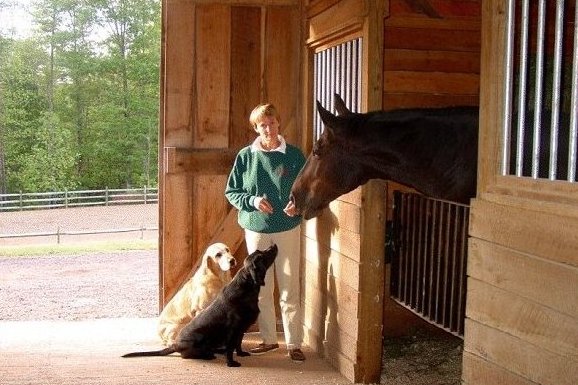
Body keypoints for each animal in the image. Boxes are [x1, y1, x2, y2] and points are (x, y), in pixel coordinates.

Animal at [121, 243, 276, 366]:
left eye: (259, 252)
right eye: (261, 256)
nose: (273, 245)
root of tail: (176, 345)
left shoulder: (241, 329)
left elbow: (237, 344)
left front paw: (241, 354)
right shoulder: (233, 329)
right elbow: (231, 347)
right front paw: (231, 363)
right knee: (188, 355)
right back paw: (209, 355)